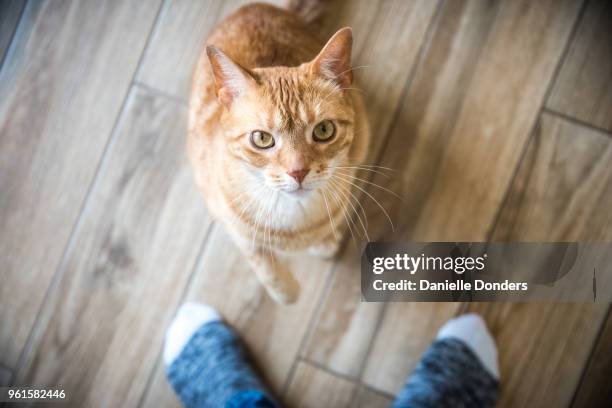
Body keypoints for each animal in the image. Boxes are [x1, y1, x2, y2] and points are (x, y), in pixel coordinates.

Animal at [188, 2, 368, 302]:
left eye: (323, 130)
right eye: (262, 138)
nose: (298, 171)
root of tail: (258, 7)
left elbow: (325, 233)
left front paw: (325, 243)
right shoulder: (236, 229)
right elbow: (264, 267)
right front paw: (287, 291)